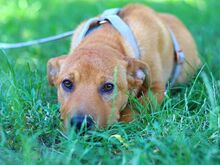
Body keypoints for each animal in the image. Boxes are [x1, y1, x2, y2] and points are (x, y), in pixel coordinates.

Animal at [46, 3, 201, 129]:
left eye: (108, 86)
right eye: (67, 83)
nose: (80, 124)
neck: (105, 39)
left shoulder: (156, 89)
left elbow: (136, 107)